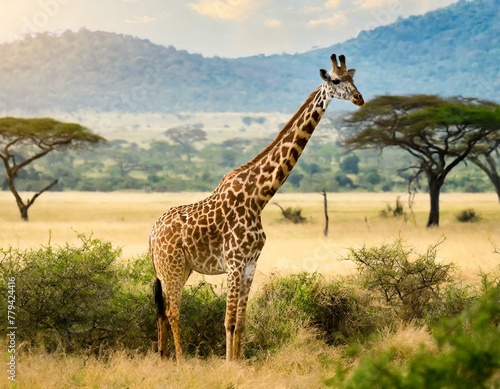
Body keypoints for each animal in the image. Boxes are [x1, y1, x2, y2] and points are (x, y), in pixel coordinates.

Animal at [148, 52, 364, 360]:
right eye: (335, 80)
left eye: (353, 78)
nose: (359, 98)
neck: (259, 197)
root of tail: (151, 233)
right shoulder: (235, 262)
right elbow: (228, 320)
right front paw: (228, 364)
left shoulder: (251, 262)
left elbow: (241, 321)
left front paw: (238, 362)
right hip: (172, 268)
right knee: (172, 312)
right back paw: (180, 360)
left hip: (178, 269)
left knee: (162, 313)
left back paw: (163, 356)